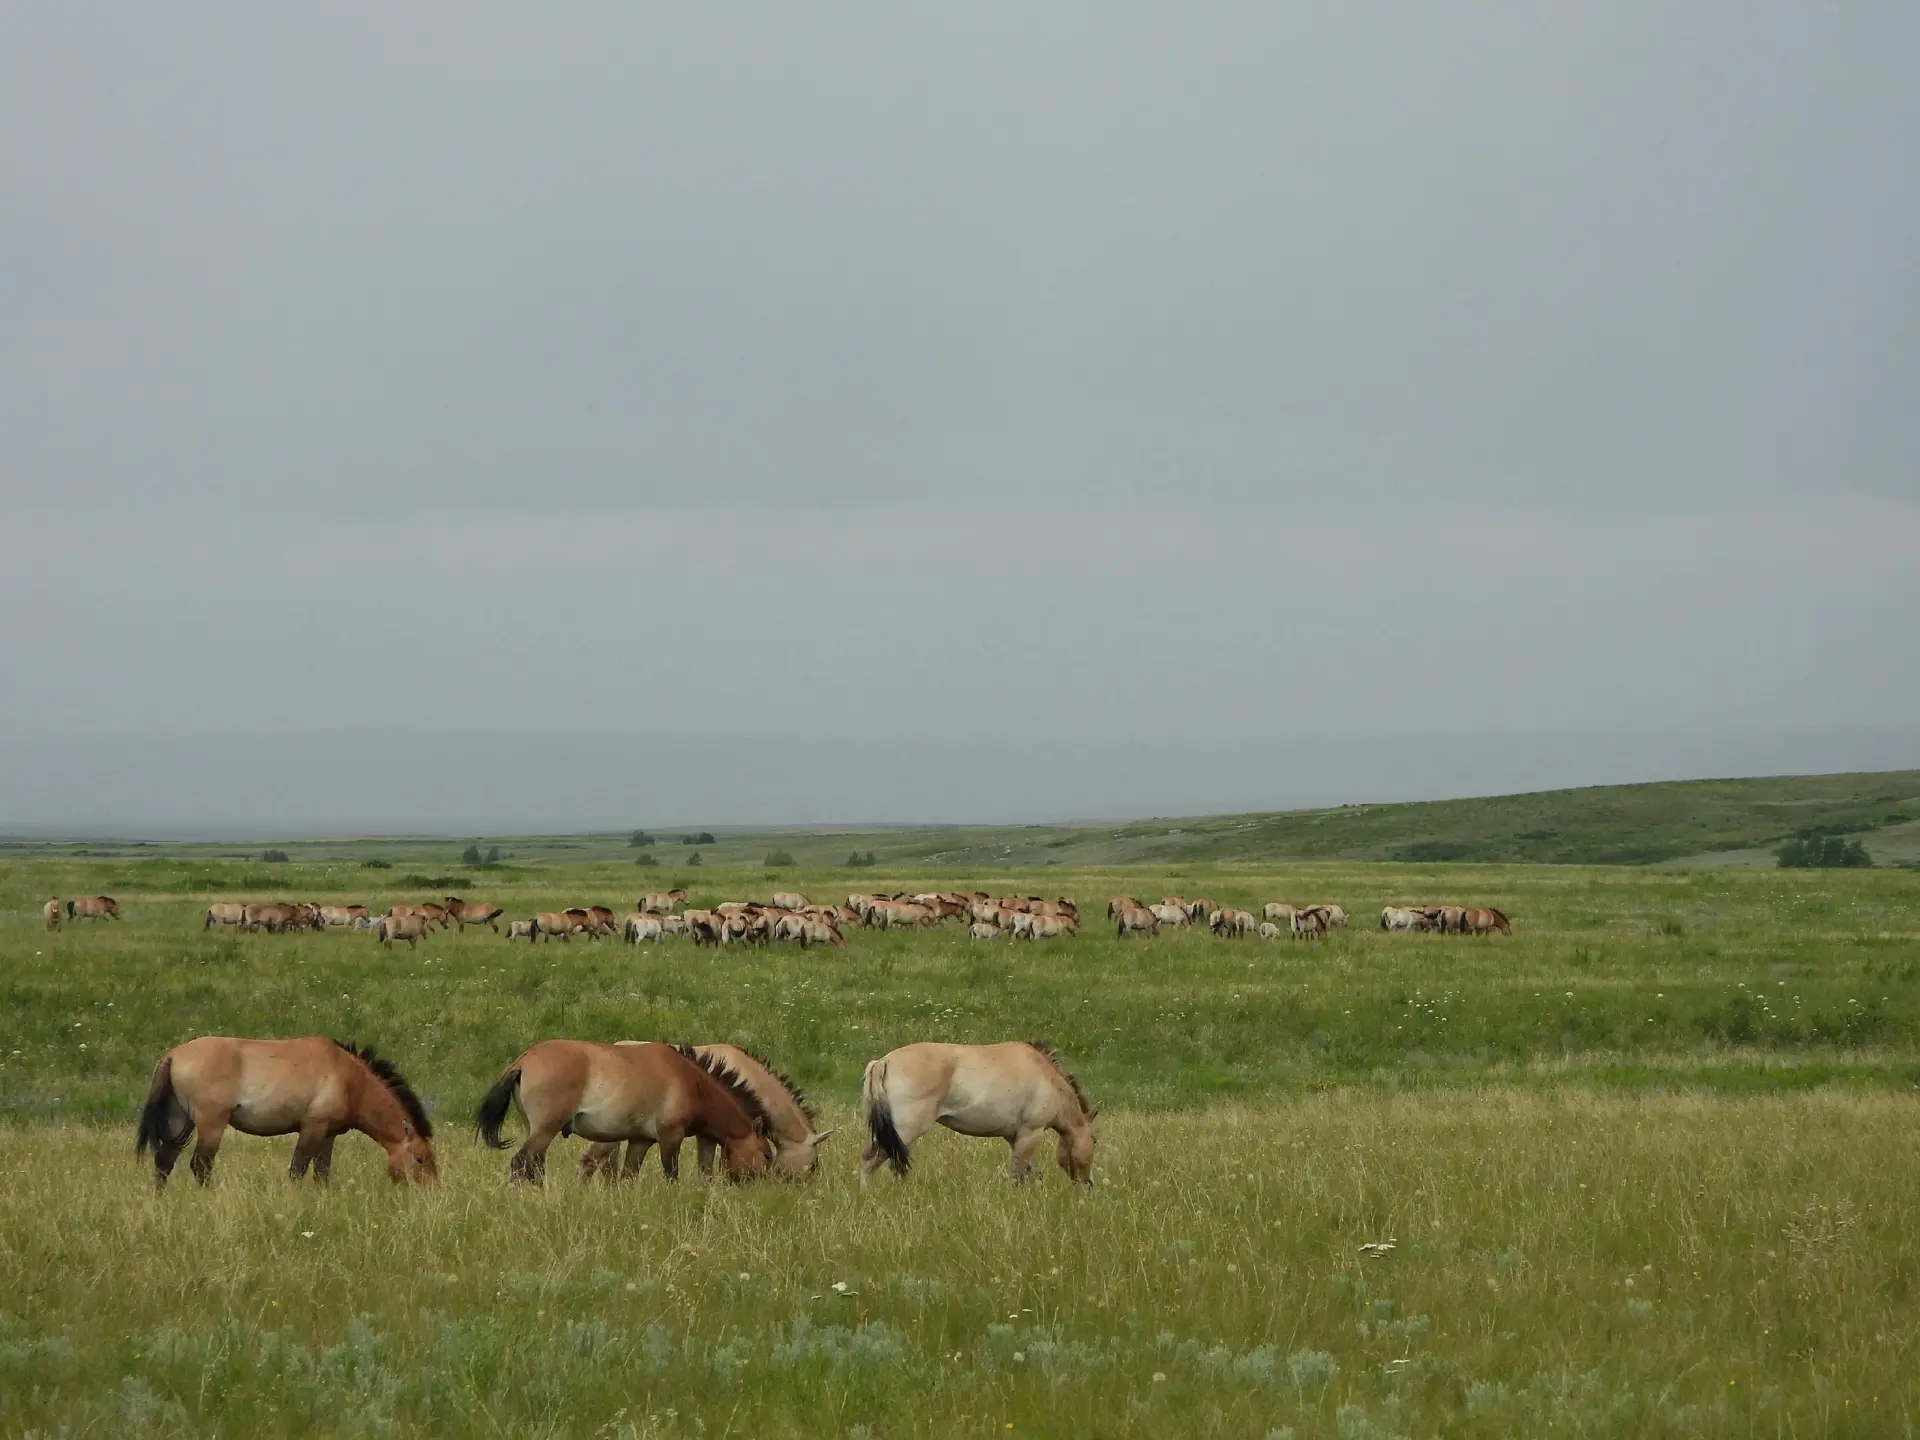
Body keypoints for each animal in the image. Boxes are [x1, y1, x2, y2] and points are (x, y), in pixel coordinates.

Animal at [135, 1036, 437, 1188]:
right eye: (420, 1158)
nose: (431, 1190)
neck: (350, 1079)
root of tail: (173, 1055)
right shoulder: (313, 1127)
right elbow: (298, 1169)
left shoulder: (328, 1135)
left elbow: (322, 1174)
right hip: (211, 1125)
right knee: (200, 1165)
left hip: (179, 1121)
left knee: (164, 1162)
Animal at [475, 1040, 772, 1183]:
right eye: (767, 1154)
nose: (764, 1187)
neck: (689, 1082)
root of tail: (523, 1061)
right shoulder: (670, 1137)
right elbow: (671, 1175)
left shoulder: (640, 1141)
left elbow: (627, 1177)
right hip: (544, 1130)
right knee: (520, 1164)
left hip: (536, 1130)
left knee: (534, 1166)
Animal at [861, 1040, 1095, 1185]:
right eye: (1094, 1141)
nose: (1088, 1185)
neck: (1048, 1078)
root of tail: (883, 1062)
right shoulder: (1031, 1133)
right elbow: (1018, 1173)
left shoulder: (1015, 1137)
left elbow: (1031, 1173)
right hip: (902, 1132)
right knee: (870, 1162)